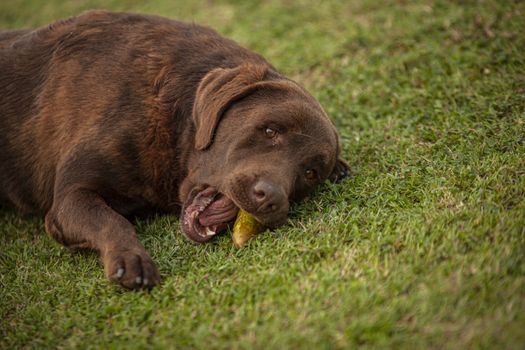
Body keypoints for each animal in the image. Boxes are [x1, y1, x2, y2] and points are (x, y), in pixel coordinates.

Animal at [1, 11, 348, 290]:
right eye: (270, 131)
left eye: (310, 172)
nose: (272, 198)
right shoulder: (70, 196)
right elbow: (111, 220)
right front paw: (131, 259)